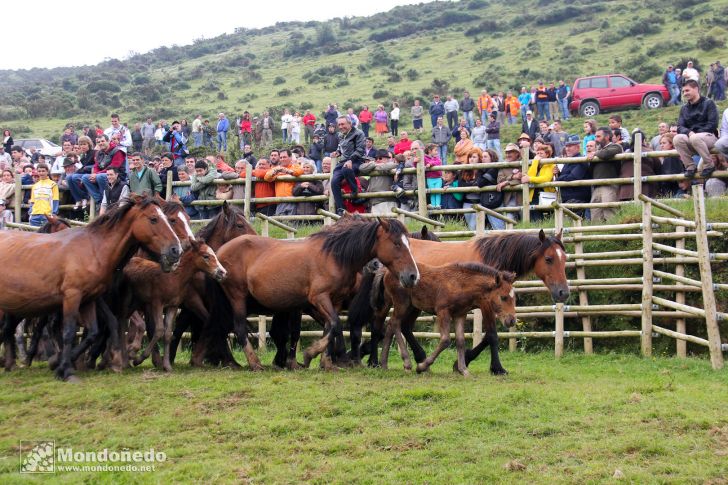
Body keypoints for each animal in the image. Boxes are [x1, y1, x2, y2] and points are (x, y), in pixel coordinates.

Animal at [0, 195, 181, 380]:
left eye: (168, 219)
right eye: (153, 219)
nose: (176, 249)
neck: (93, 249)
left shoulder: (88, 299)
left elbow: (94, 331)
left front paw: (65, 364)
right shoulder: (72, 296)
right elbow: (69, 332)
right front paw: (66, 368)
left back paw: (12, 363)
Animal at [123, 238, 228, 370]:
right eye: (206, 256)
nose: (223, 272)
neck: (173, 277)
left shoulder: (173, 306)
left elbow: (168, 334)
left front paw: (167, 365)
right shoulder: (157, 303)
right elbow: (159, 330)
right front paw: (139, 359)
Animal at [208, 216, 418, 366]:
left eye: (409, 243)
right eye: (396, 243)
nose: (412, 275)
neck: (334, 257)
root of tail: (219, 252)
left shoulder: (334, 301)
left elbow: (330, 327)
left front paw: (326, 361)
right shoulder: (319, 298)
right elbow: (335, 324)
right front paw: (312, 354)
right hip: (237, 296)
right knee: (239, 327)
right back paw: (254, 363)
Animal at [376, 262, 516, 376]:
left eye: (514, 298)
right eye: (503, 297)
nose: (512, 320)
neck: (460, 284)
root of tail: (386, 272)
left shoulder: (460, 314)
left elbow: (460, 341)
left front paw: (463, 369)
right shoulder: (443, 311)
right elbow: (445, 340)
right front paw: (421, 366)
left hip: (411, 306)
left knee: (392, 325)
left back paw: (384, 364)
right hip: (402, 302)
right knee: (395, 323)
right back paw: (407, 363)